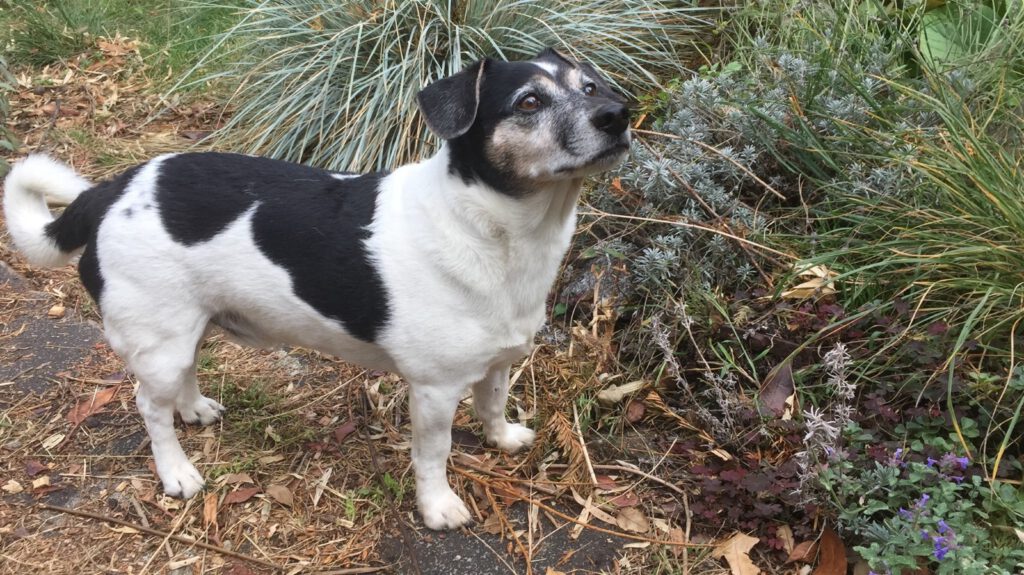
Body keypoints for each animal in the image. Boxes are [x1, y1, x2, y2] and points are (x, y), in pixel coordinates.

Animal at [2, 49, 630, 527]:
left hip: (186, 329)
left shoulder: (497, 360)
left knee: (181, 378)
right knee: (148, 407)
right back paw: (176, 472)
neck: (494, 230)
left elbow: (493, 403)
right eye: (529, 103)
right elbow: (434, 454)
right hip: (158, 341)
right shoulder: (433, 390)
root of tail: (109, 191)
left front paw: (502, 439)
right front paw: (438, 507)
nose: (619, 114)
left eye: (591, 86)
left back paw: (195, 408)